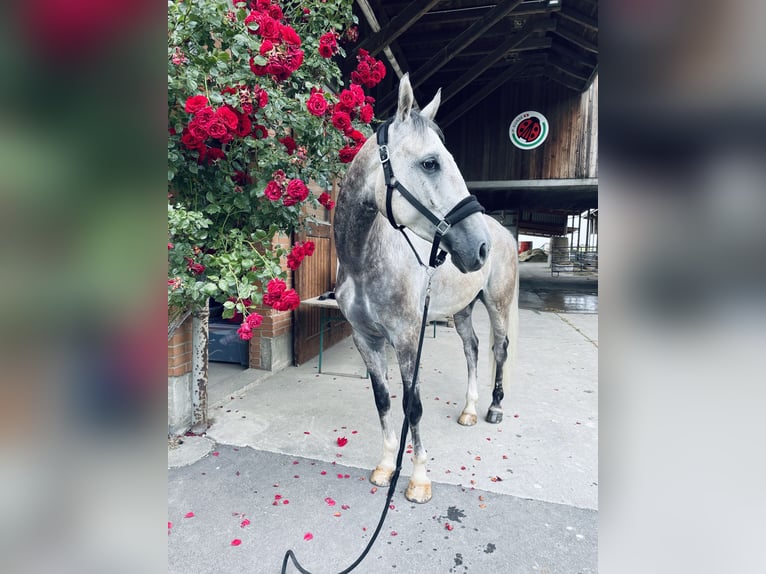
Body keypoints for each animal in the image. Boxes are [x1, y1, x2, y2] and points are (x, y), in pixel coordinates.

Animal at [334, 73, 520, 504]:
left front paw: (418, 479)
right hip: (462, 309)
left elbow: (412, 406)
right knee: (472, 348)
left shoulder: (406, 340)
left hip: (497, 305)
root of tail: (502, 233)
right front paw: (387, 465)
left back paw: (494, 408)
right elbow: (383, 400)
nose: (479, 248)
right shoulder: (366, 339)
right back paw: (469, 411)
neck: (364, 261)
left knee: (498, 349)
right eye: (430, 163)